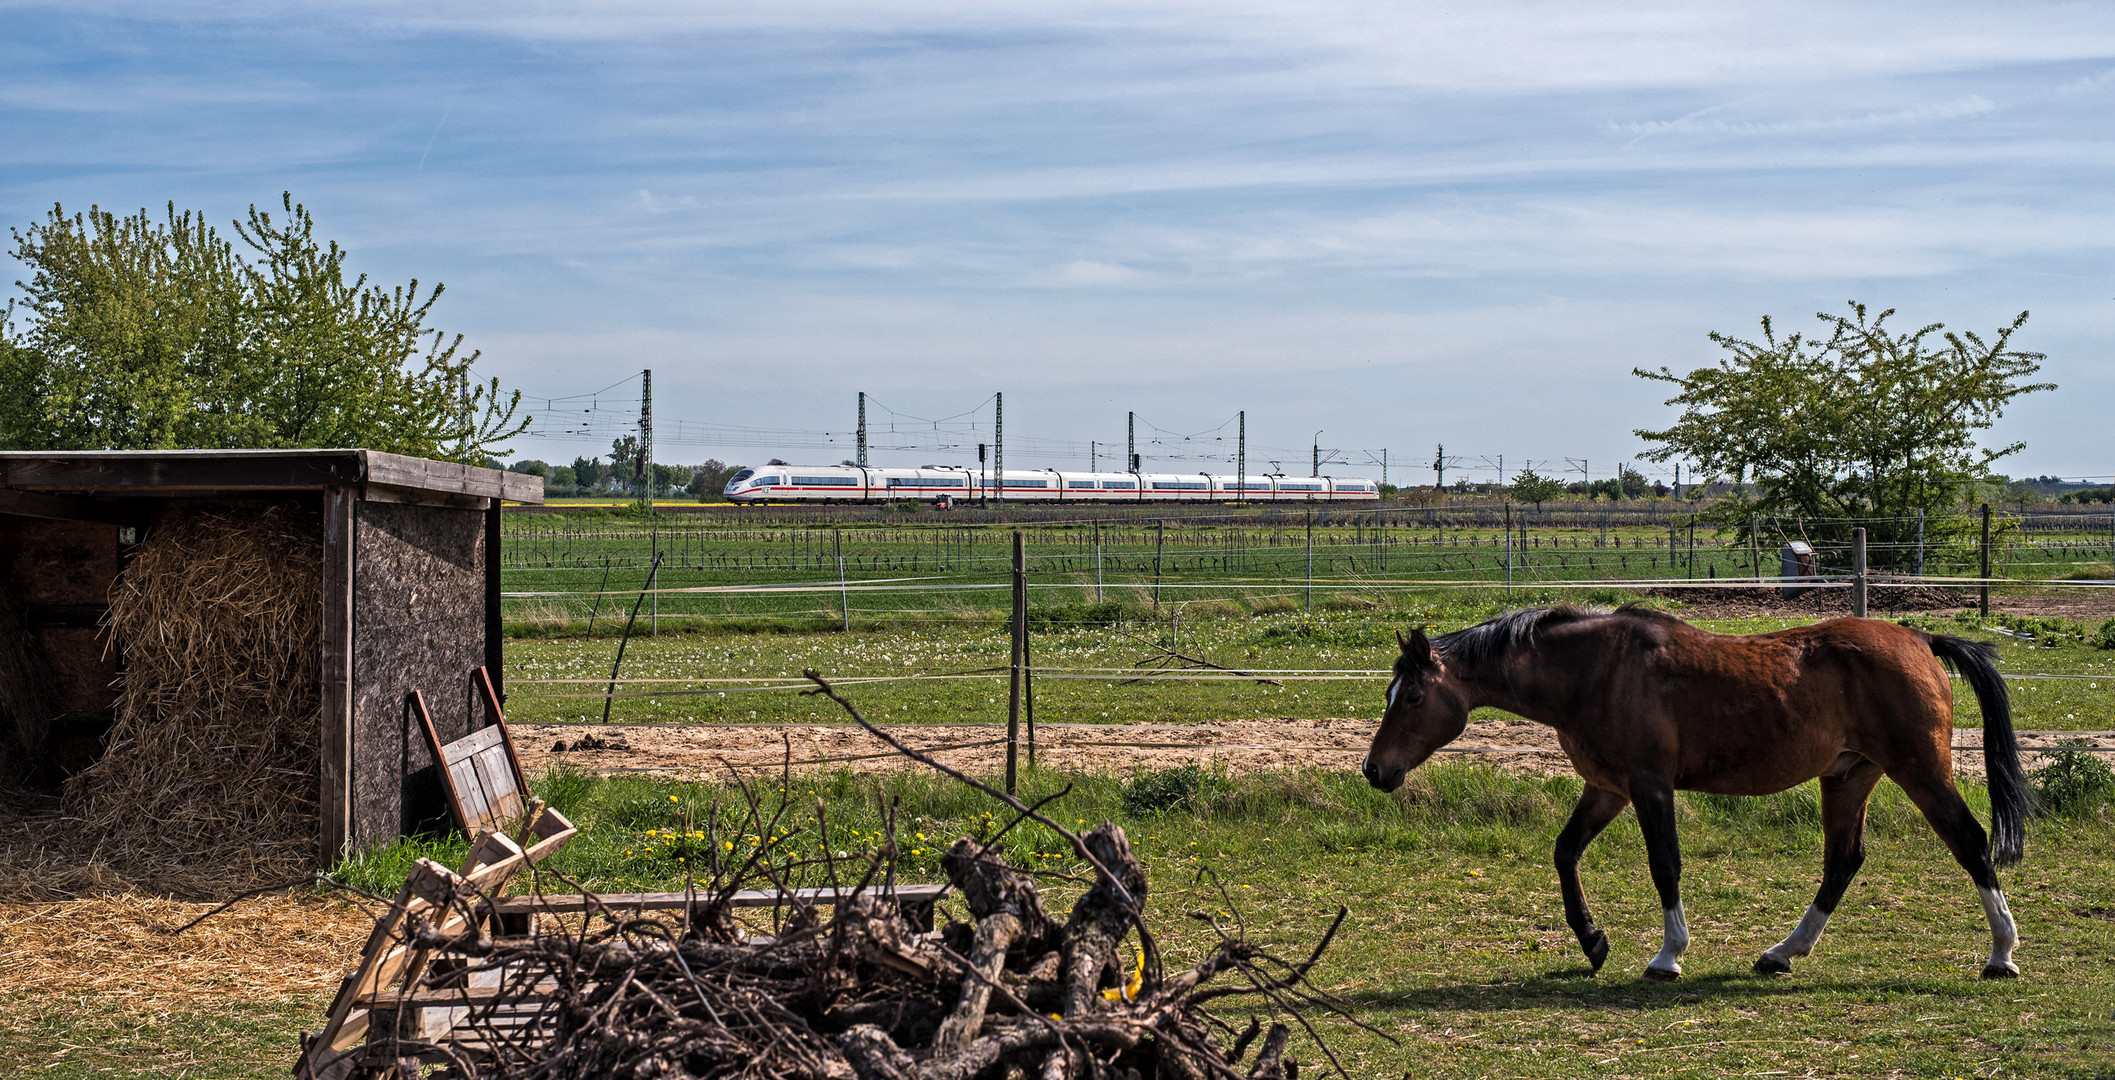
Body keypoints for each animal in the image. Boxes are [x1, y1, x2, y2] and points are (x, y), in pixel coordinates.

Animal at [1353, 604, 2030, 984]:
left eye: (1413, 697)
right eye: (1393, 695)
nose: (1374, 769)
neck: (1595, 670)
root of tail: (1919, 640)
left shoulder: (1649, 787)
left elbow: (1665, 866)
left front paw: (1667, 957)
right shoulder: (1607, 788)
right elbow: (1565, 852)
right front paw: (1592, 941)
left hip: (1919, 769)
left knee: (1970, 841)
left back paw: (2001, 955)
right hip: (1848, 775)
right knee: (1843, 861)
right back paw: (1781, 953)